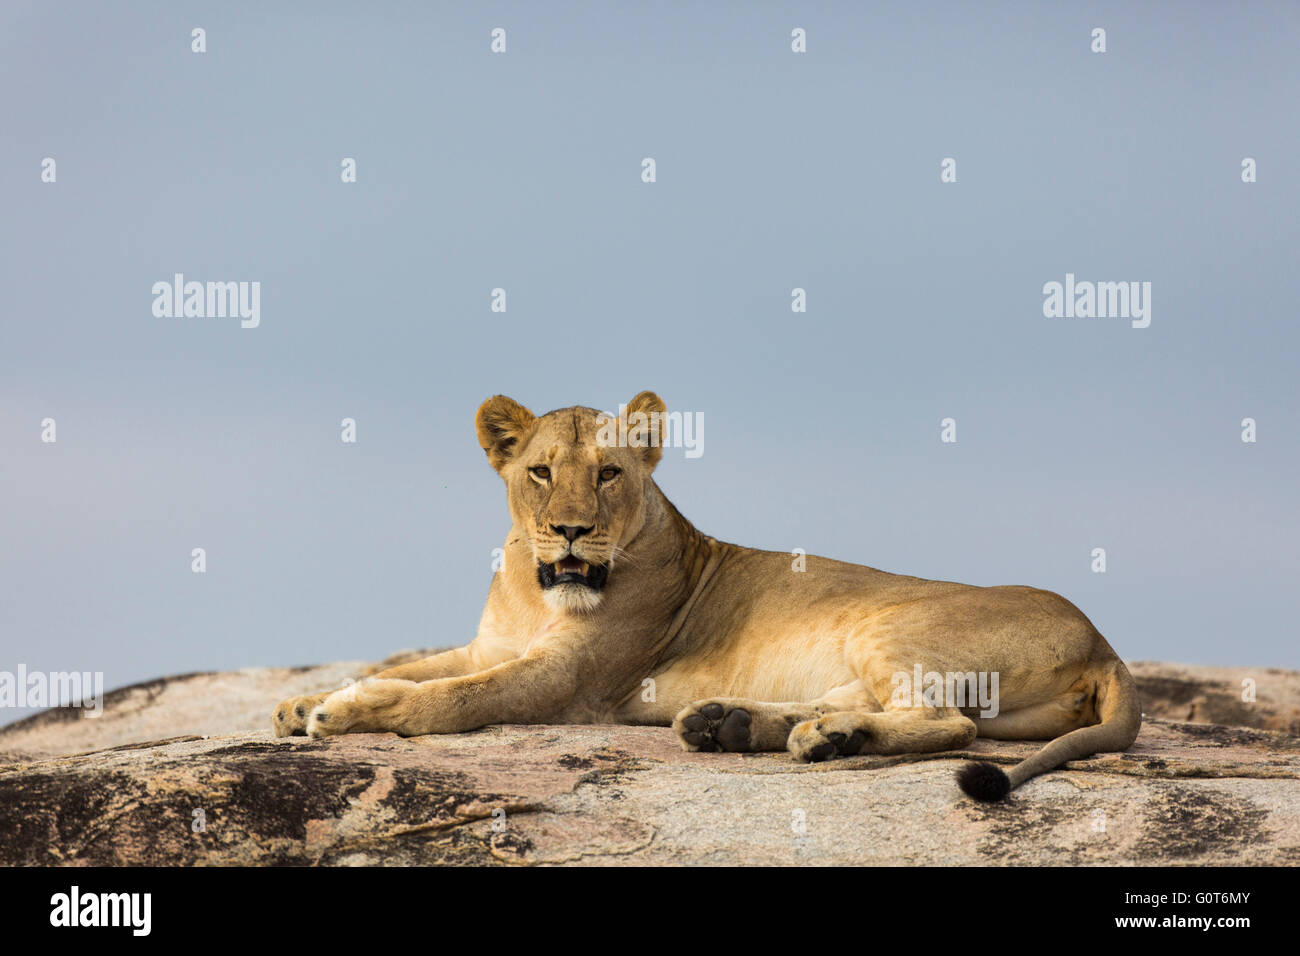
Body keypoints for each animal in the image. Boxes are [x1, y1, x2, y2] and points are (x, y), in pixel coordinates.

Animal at [273, 391, 1141, 801]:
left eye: (609, 473)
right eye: (541, 471)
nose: (570, 532)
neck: (536, 588)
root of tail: (1105, 643)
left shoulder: (569, 680)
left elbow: (453, 697)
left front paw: (350, 711)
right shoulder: (491, 645)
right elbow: (423, 664)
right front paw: (304, 700)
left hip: (889, 625)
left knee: (946, 722)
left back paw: (806, 739)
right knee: (877, 707)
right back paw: (741, 726)